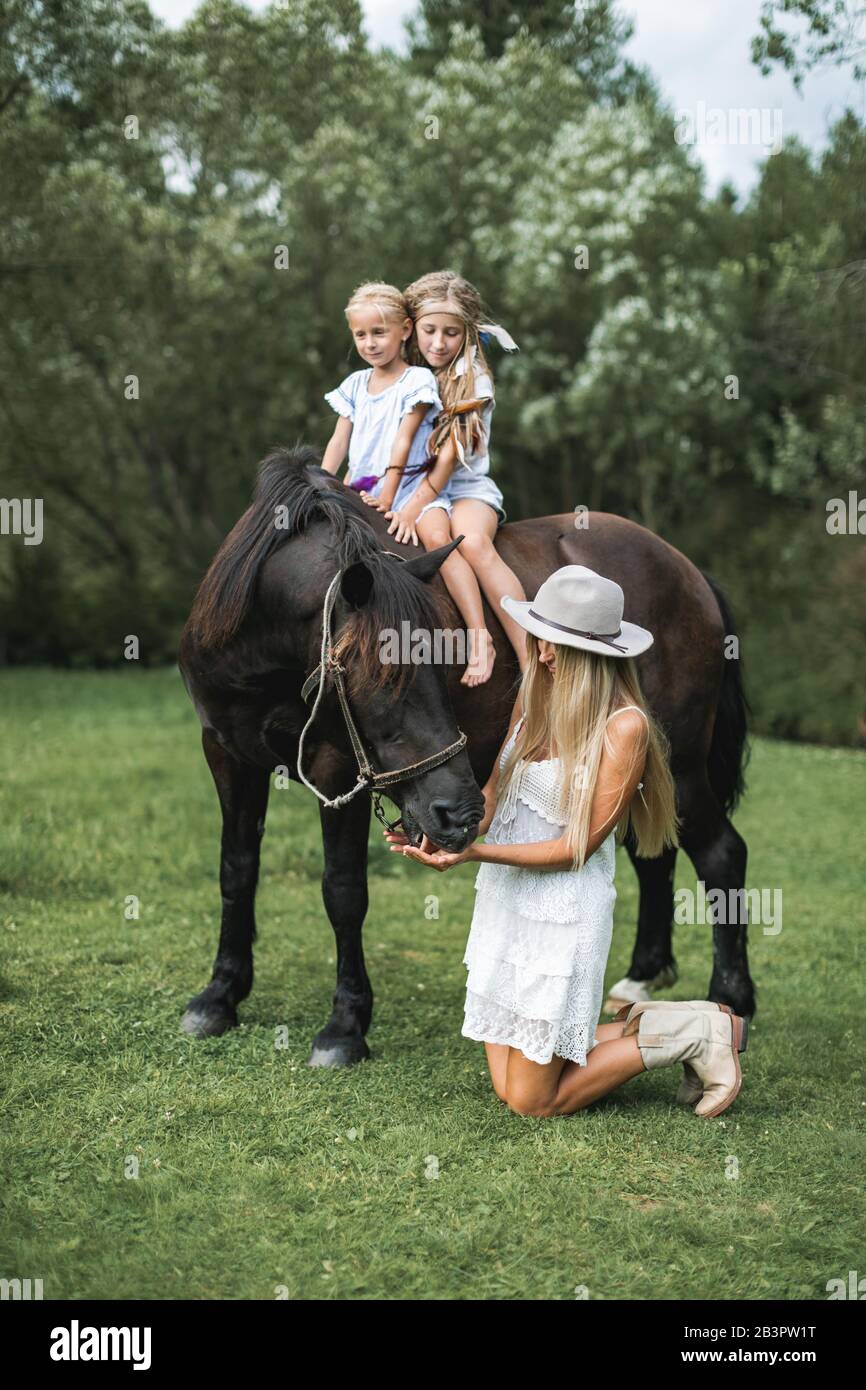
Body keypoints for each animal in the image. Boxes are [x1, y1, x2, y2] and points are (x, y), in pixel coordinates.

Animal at [177, 444, 750, 1061]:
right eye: (380, 674)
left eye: (444, 658)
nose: (462, 812)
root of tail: (687, 570)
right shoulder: (226, 755)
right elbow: (236, 870)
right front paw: (219, 995)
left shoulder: (337, 770)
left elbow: (344, 890)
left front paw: (345, 1025)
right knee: (655, 854)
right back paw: (643, 975)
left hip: (679, 766)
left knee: (721, 854)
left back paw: (732, 999)